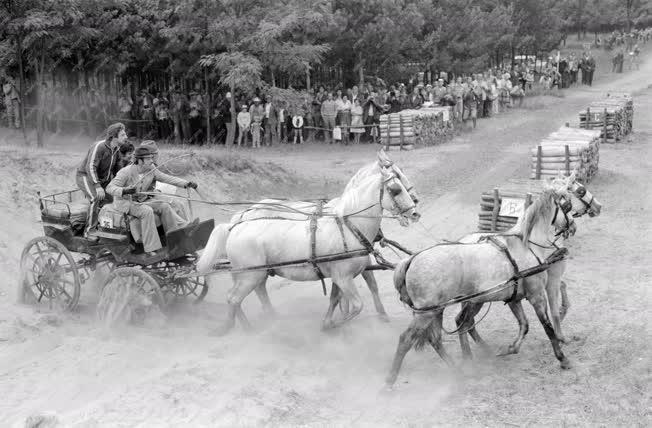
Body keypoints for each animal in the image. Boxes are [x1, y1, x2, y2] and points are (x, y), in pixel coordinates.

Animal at [196, 150, 420, 334]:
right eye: (396, 188)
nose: (415, 211)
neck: (349, 226)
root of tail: (235, 225)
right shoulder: (343, 277)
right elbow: (357, 305)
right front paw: (335, 324)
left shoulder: (341, 275)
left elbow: (338, 298)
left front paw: (334, 321)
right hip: (249, 275)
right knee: (233, 298)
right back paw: (233, 327)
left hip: (253, 274)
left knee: (249, 294)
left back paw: (265, 320)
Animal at [388, 186, 576, 386]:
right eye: (567, 206)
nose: (572, 226)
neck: (526, 245)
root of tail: (412, 259)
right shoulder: (537, 296)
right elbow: (547, 327)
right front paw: (562, 358)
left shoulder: (514, 298)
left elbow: (524, 325)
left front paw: (511, 348)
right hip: (430, 312)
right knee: (407, 339)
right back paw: (390, 381)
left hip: (442, 308)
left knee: (440, 336)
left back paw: (460, 368)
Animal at [454, 172, 600, 356]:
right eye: (581, 191)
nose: (598, 206)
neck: (533, 242)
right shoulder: (551, 280)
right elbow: (554, 310)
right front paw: (561, 336)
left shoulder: (530, 286)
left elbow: (560, 291)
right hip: (475, 299)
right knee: (464, 321)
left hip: (477, 299)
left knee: (467, 322)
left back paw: (483, 347)